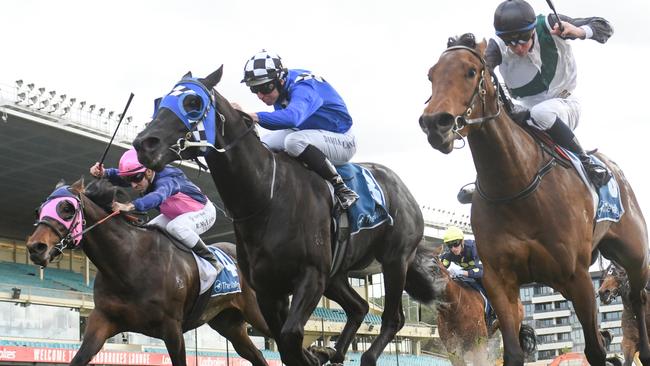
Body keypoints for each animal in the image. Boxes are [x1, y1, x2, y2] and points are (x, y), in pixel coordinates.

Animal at [26, 179, 270, 366]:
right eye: (39, 210)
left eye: (67, 208)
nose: (35, 247)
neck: (129, 263)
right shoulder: (102, 320)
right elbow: (78, 359)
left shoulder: (172, 328)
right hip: (229, 324)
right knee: (257, 356)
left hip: (257, 314)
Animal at [134, 66, 442, 366]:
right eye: (160, 101)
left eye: (193, 103)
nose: (143, 144)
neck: (266, 197)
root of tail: (402, 188)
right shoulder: (268, 288)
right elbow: (284, 345)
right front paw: (318, 353)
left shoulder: (310, 276)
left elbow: (291, 336)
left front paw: (313, 354)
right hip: (336, 276)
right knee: (360, 307)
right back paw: (334, 352)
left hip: (394, 260)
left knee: (393, 318)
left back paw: (363, 355)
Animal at [418, 33, 644, 364]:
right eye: (431, 75)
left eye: (470, 72)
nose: (436, 123)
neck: (515, 186)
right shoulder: (500, 282)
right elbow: (512, 352)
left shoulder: (578, 277)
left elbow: (595, 348)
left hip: (634, 257)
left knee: (638, 299)